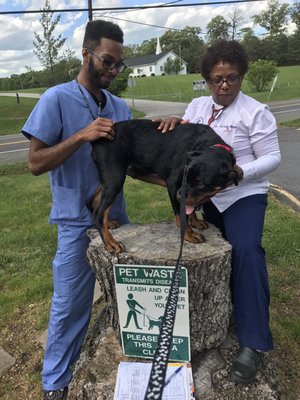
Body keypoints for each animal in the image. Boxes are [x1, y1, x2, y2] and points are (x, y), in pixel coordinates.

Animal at [88, 117, 239, 253]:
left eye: (201, 184)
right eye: (187, 177)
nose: (179, 197)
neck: (204, 144)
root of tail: (97, 139)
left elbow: (188, 209)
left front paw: (195, 222)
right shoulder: (173, 184)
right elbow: (181, 216)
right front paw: (189, 235)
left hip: (108, 179)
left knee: (93, 202)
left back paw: (109, 223)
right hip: (115, 177)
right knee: (100, 213)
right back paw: (111, 243)